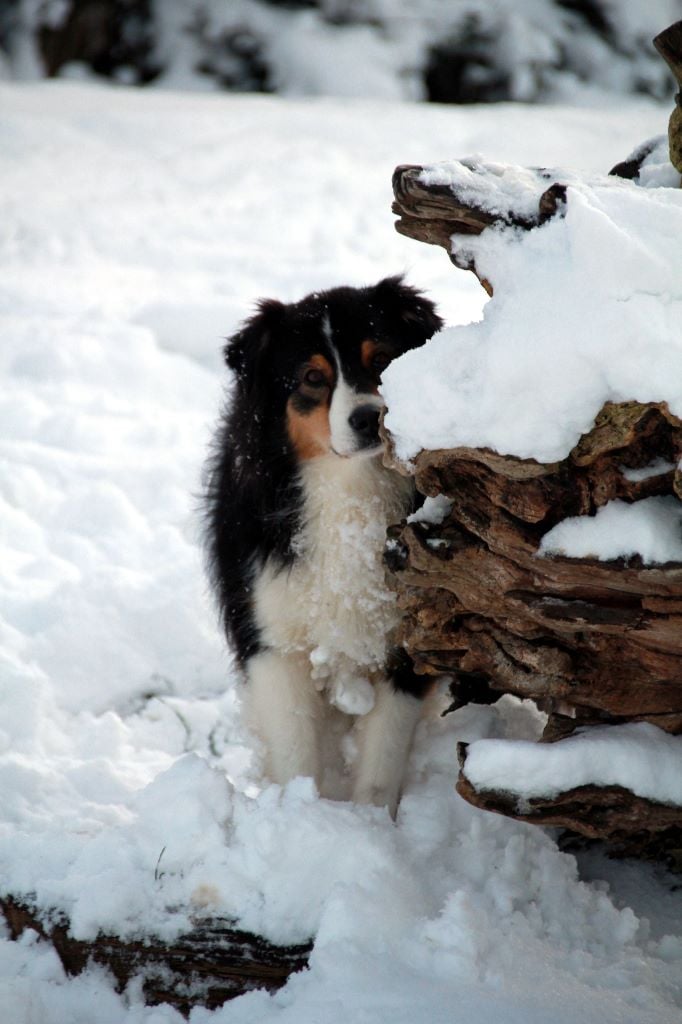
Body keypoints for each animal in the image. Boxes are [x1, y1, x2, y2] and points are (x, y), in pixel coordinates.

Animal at [204, 274, 444, 815]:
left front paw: (372, 826)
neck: (350, 493)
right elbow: (296, 754)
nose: (369, 418)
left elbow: (381, 767)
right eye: (312, 377)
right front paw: (301, 818)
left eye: (383, 358)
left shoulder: (411, 638)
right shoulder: (272, 638)